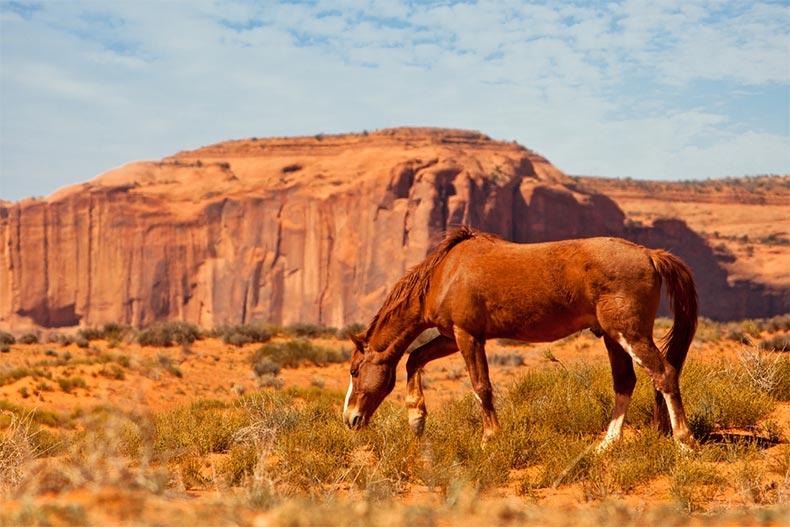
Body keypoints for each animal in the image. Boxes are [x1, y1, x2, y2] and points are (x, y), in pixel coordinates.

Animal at [344, 227, 704, 450]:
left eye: (354, 370)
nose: (350, 419)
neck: (445, 273)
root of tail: (650, 254)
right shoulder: (451, 336)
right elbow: (414, 358)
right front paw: (417, 419)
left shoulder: (467, 336)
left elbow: (481, 387)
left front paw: (489, 438)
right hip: (613, 337)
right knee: (625, 382)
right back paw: (606, 443)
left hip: (629, 333)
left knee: (664, 374)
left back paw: (683, 441)